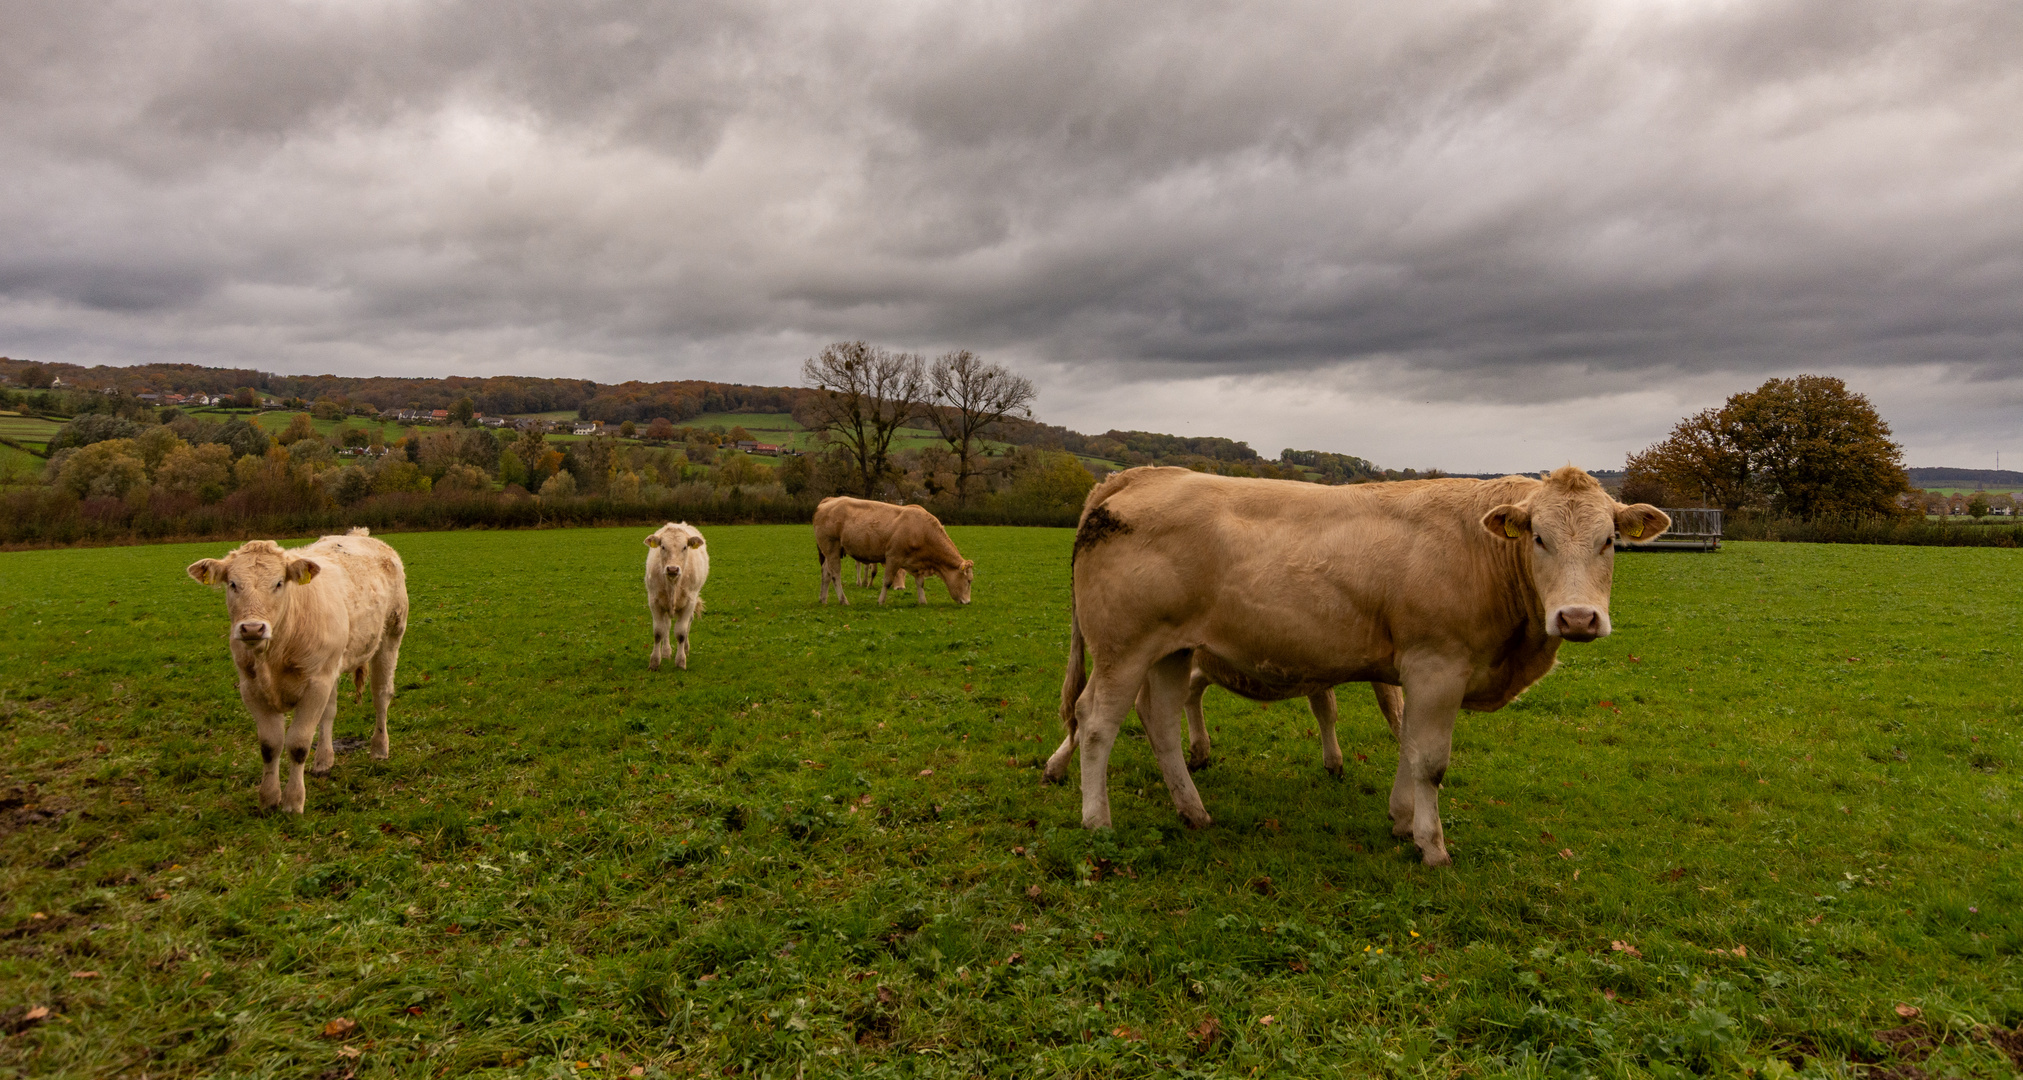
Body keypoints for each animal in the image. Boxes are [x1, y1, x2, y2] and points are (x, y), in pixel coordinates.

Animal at [188, 529, 408, 817]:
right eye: (233, 584)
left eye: (279, 583)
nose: (252, 628)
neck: (273, 655)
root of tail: (361, 533)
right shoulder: (251, 688)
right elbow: (270, 745)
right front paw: (269, 799)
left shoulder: (315, 684)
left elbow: (298, 744)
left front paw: (293, 802)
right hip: (333, 663)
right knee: (330, 711)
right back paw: (324, 760)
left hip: (391, 634)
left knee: (381, 695)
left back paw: (380, 748)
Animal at [651, 521, 716, 667]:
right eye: (663, 546)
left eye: (685, 547)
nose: (672, 569)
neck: (673, 584)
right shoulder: (654, 601)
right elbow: (659, 632)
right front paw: (655, 661)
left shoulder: (689, 603)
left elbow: (681, 633)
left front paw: (681, 661)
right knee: (667, 625)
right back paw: (666, 651)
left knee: (687, 625)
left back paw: (685, 648)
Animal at [821, 499, 979, 610]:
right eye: (969, 581)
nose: (968, 602)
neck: (922, 530)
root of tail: (828, 501)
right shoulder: (893, 558)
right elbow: (887, 581)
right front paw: (881, 601)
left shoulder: (916, 562)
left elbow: (920, 583)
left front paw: (923, 601)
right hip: (832, 549)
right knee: (835, 575)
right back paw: (844, 600)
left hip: (830, 553)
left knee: (826, 573)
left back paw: (823, 599)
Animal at [1051, 467, 1666, 873]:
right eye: (1539, 537)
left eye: (1609, 541)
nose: (1578, 617)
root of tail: (1140, 477)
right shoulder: (1437, 665)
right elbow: (1429, 761)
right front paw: (1432, 844)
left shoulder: (1418, 673)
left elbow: (1406, 745)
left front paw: (1401, 820)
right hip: (1124, 647)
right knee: (1096, 722)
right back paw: (1097, 822)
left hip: (1172, 650)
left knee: (1159, 722)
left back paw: (1193, 811)